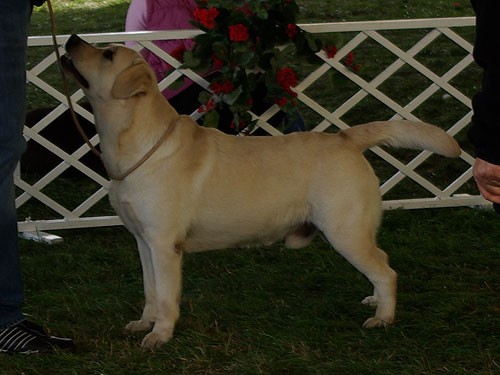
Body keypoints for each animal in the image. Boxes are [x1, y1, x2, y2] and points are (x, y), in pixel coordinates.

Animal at [61, 34, 460, 350]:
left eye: (107, 54)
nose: (72, 39)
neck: (137, 145)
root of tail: (346, 138)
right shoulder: (143, 240)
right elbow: (149, 290)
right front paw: (144, 322)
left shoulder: (163, 243)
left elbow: (165, 295)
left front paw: (160, 335)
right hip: (355, 230)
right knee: (381, 262)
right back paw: (375, 301)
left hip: (344, 230)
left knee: (387, 271)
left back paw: (384, 317)